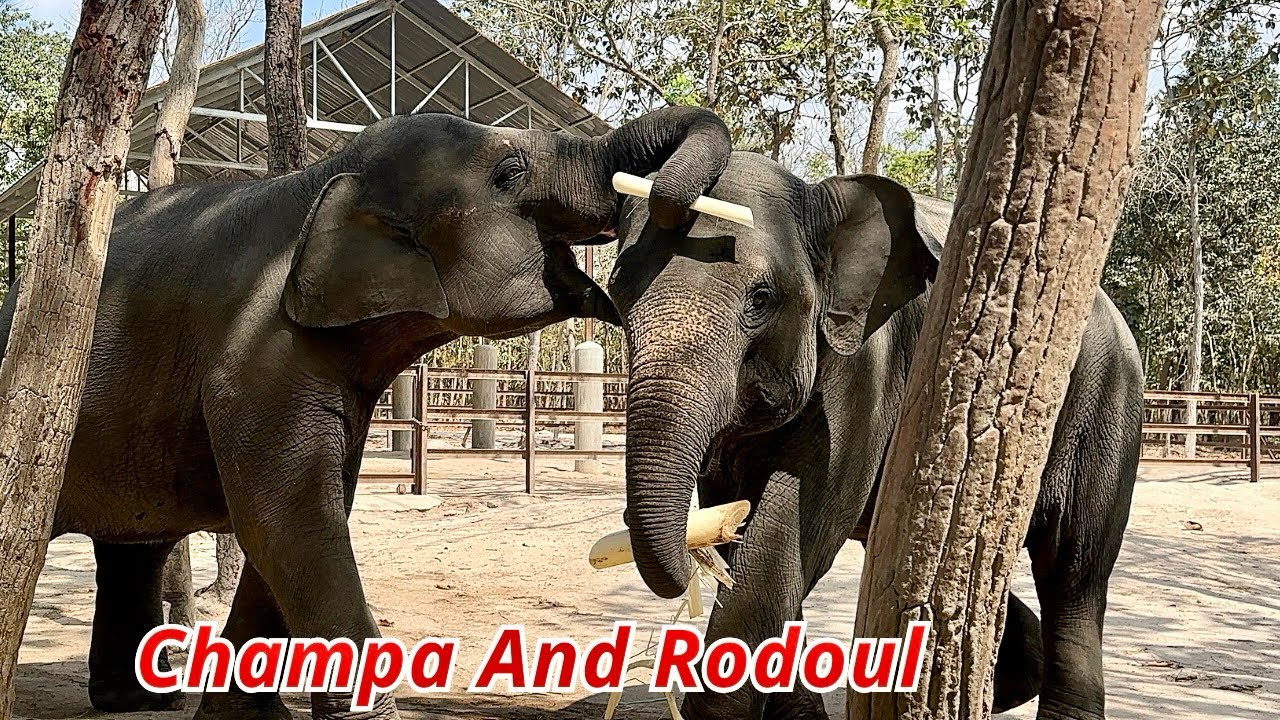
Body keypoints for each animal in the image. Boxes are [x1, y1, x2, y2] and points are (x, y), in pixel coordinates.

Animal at [0, 107, 731, 720]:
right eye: (509, 171)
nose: (663, 206)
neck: (323, 179)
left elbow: (307, 520)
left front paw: (247, 719)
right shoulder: (259, 353)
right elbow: (288, 522)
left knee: (134, 547)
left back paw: (136, 701)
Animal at [607, 152, 1143, 720]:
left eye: (761, 298)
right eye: (617, 292)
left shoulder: (864, 376)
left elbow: (784, 539)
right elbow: (746, 534)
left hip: (1105, 408)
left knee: (1074, 571)